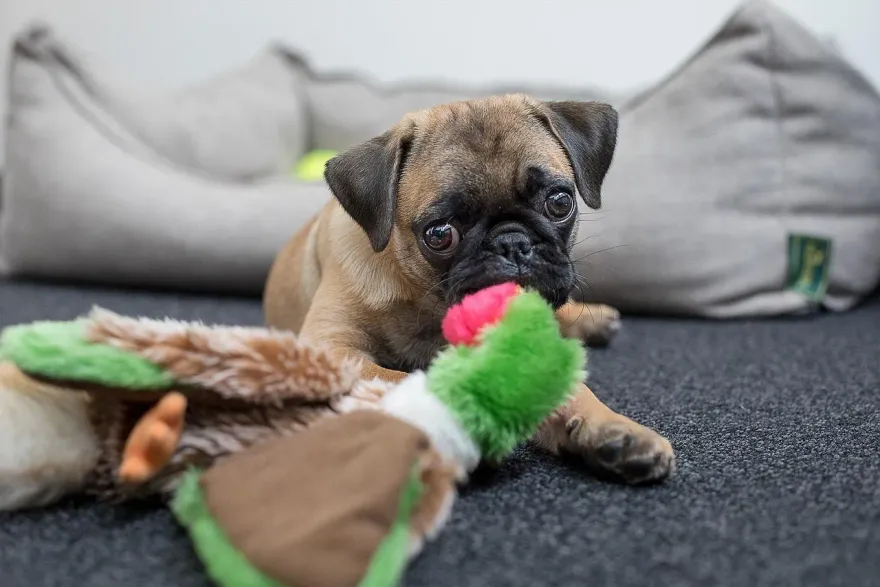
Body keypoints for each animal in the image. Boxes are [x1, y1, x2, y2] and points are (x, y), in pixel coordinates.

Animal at [264, 95, 676, 482]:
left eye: (560, 203)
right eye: (440, 234)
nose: (512, 242)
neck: (426, 303)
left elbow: (571, 388)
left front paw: (612, 427)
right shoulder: (331, 348)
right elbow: (405, 377)